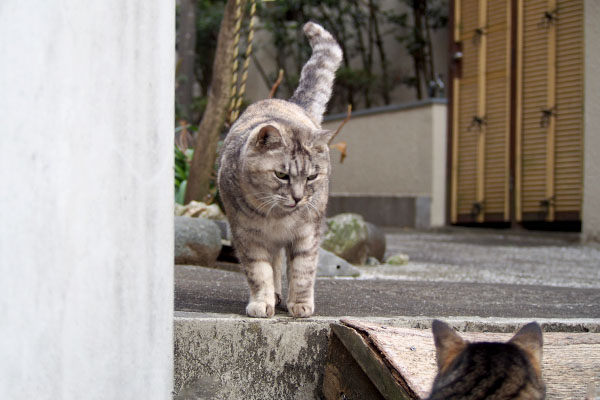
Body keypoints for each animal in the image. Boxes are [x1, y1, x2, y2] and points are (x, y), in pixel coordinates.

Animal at [219, 22, 342, 318]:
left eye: (312, 176)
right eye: (281, 175)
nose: (297, 197)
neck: (278, 218)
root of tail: (290, 103)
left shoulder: (307, 234)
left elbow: (302, 270)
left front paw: (300, 304)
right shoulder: (247, 236)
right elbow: (259, 271)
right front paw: (262, 302)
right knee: (274, 264)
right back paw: (274, 296)